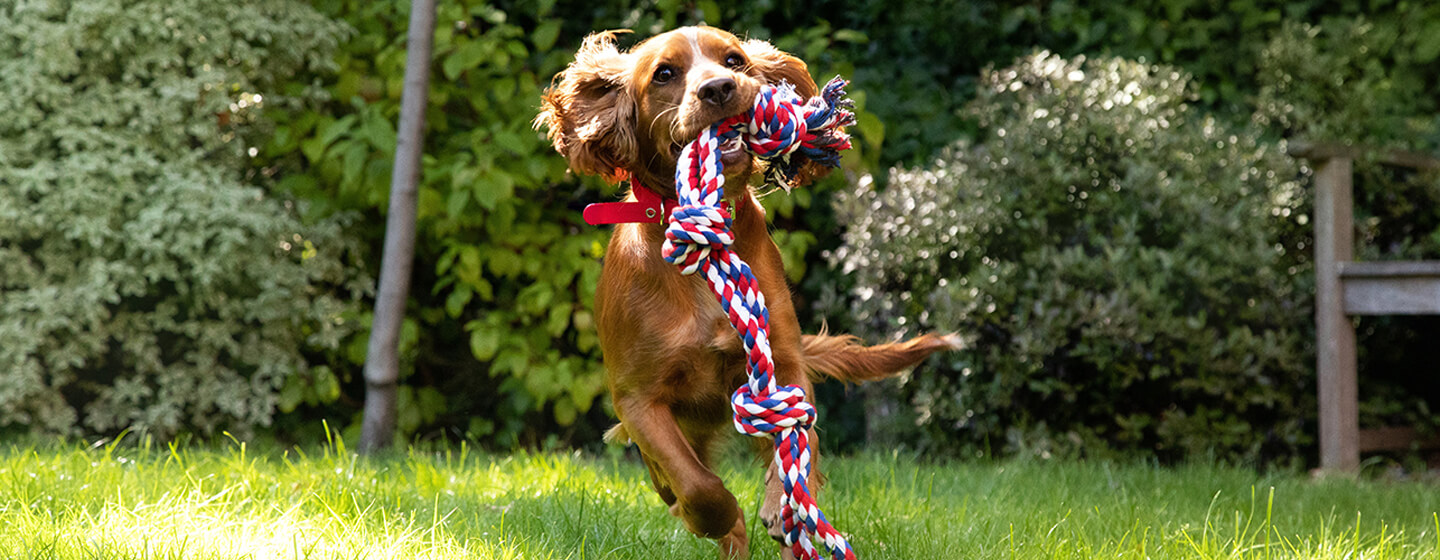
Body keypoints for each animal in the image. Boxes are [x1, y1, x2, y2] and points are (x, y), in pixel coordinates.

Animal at [538, 27, 956, 558]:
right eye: (665, 73)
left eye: (734, 60)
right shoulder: (636, 399)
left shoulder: (784, 360)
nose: (718, 88)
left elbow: (797, 442)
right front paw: (723, 516)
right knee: (678, 487)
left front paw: (783, 504)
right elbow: (699, 487)